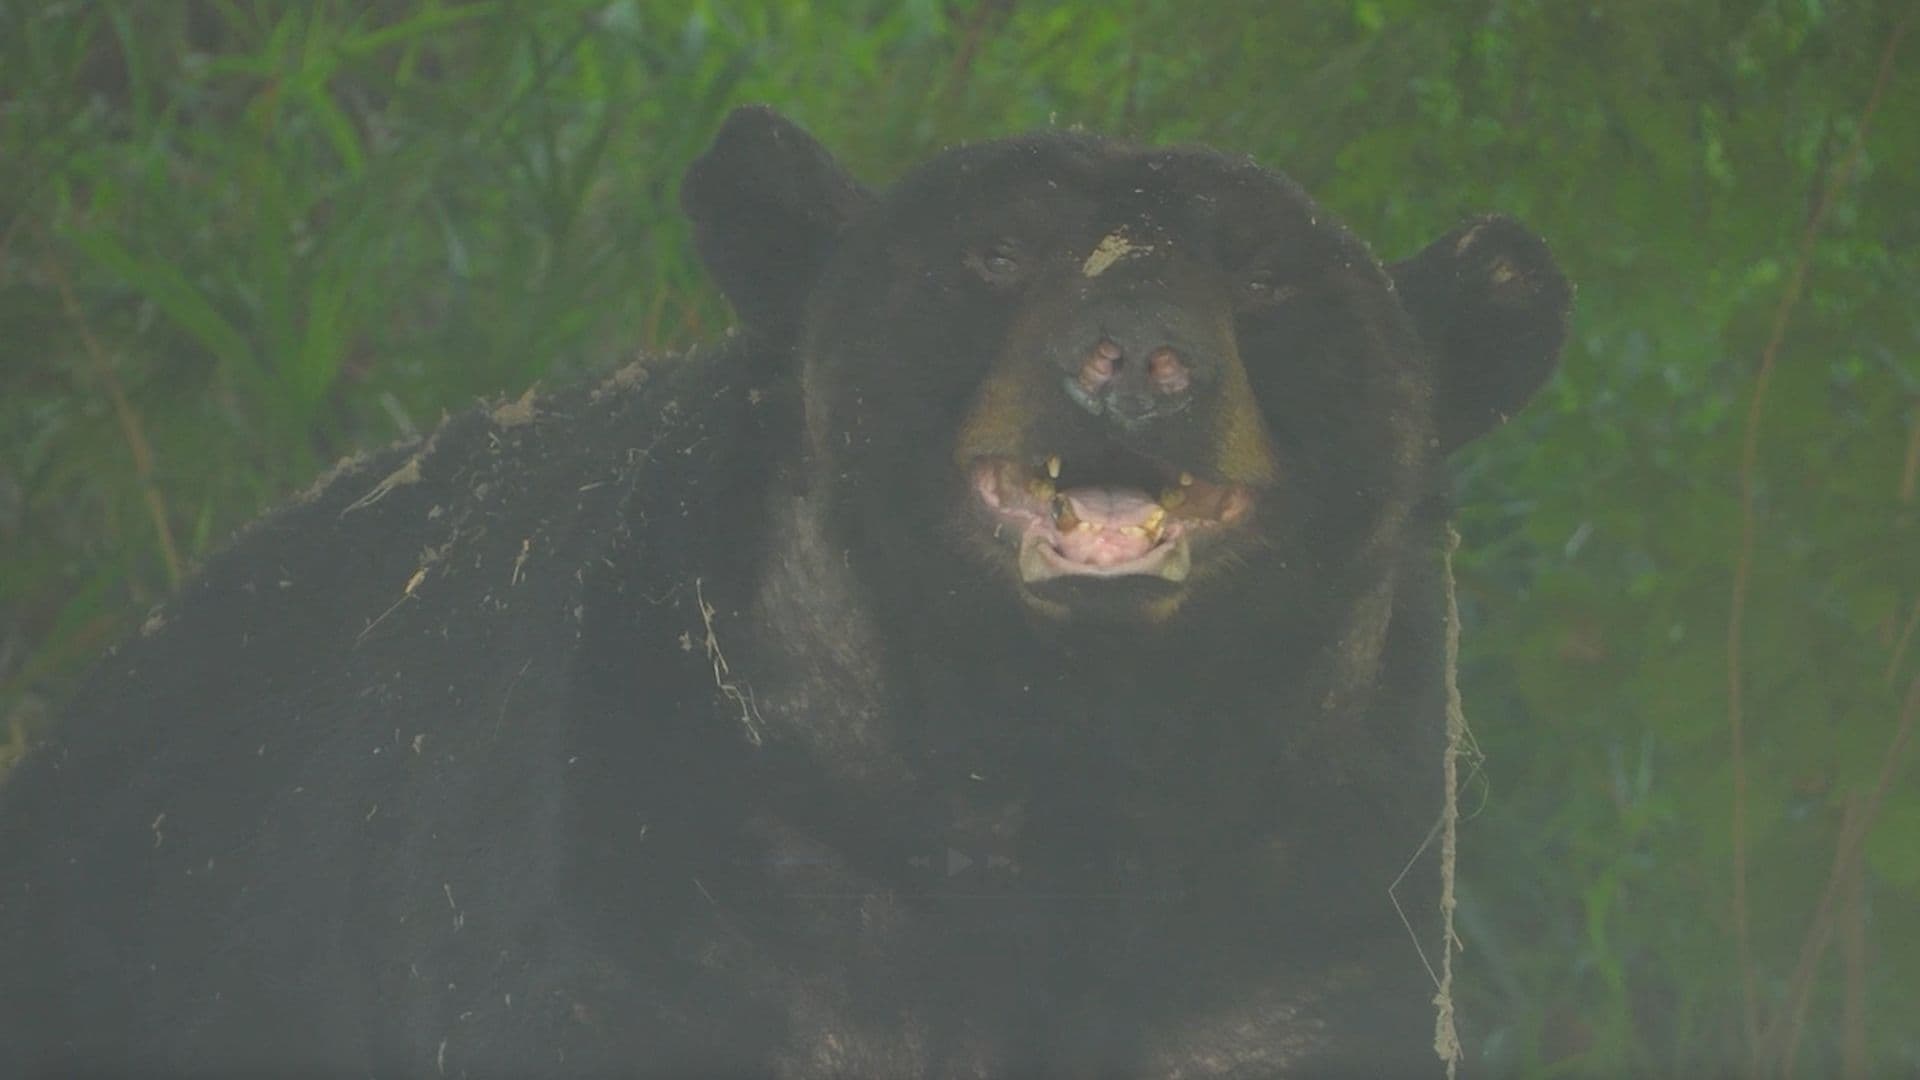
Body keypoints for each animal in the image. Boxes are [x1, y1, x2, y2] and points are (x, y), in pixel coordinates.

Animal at [0, 106, 1569, 1076]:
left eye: (1263, 282)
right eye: (999, 251)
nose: (1134, 356)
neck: (1050, 766)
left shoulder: (1302, 922)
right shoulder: (676, 883)